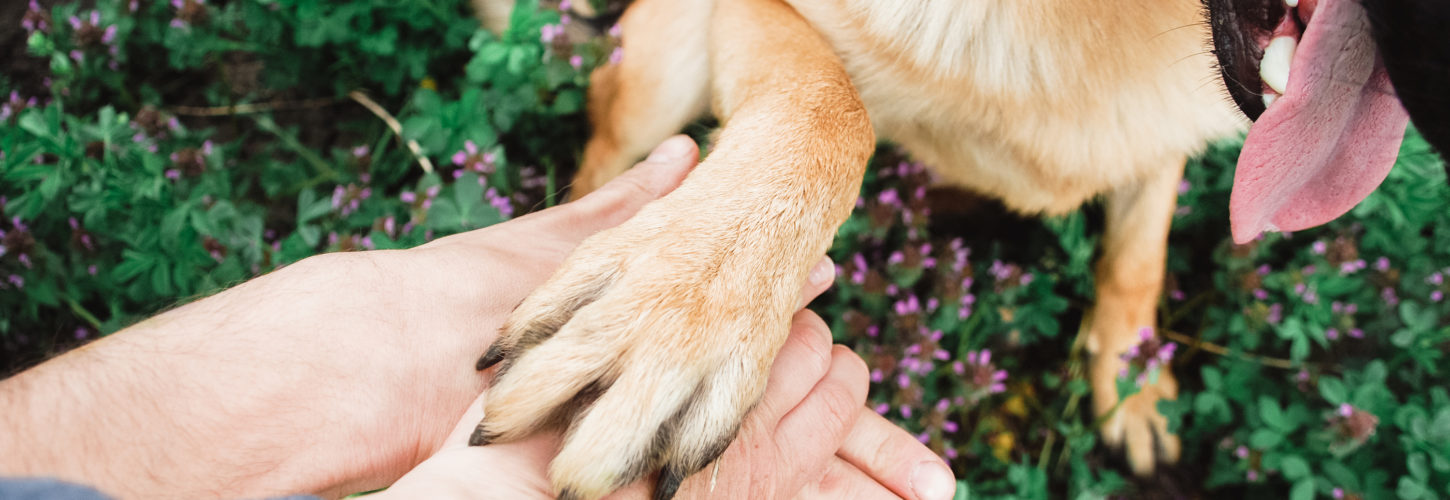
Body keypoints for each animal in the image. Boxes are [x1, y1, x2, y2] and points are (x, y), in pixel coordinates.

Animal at [469, 0, 1241, 495]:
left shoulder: (1163, 134)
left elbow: (1137, 258)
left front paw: (1135, 385)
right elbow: (834, 104)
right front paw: (681, 303)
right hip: (657, 78)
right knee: (601, 158)